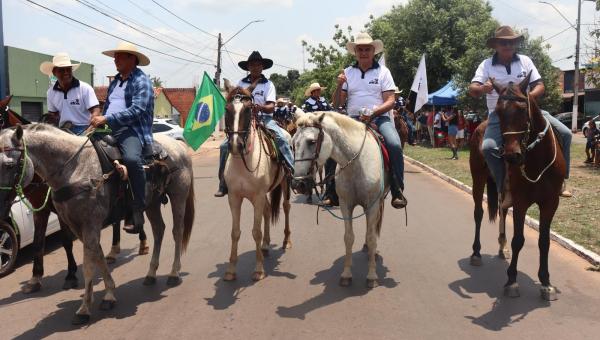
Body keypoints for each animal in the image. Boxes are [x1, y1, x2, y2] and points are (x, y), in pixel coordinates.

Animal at [0, 125, 195, 324]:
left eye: (9, 165)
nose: (1, 210)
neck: (75, 168)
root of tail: (178, 145)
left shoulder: (90, 224)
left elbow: (88, 265)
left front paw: (84, 309)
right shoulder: (77, 227)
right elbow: (98, 257)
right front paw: (109, 295)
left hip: (178, 195)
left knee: (177, 231)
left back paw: (174, 273)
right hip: (152, 203)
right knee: (158, 231)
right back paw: (151, 274)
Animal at [223, 83, 292, 282]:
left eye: (248, 110)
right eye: (227, 109)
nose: (235, 145)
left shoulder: (258, 196)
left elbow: (256, 231)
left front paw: (259, 270)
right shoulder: (234, 197)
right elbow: (235, 232)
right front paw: (231, 270)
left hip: (285, 182)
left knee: (286, 207)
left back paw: (286, 241)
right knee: (268, 211)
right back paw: (266, 246)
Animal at [468, 74, 568, 300]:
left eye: (523, 109)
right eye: (498, 111)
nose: (511, 155)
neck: (537, 159)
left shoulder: (551, 203)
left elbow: (544, 241)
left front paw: (546, 283)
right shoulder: (521, 202)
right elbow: (519, 240)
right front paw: (511, 281)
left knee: (503, 211)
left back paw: (501, 247)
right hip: (478, 180)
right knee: (478, 213)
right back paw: (476, 253)